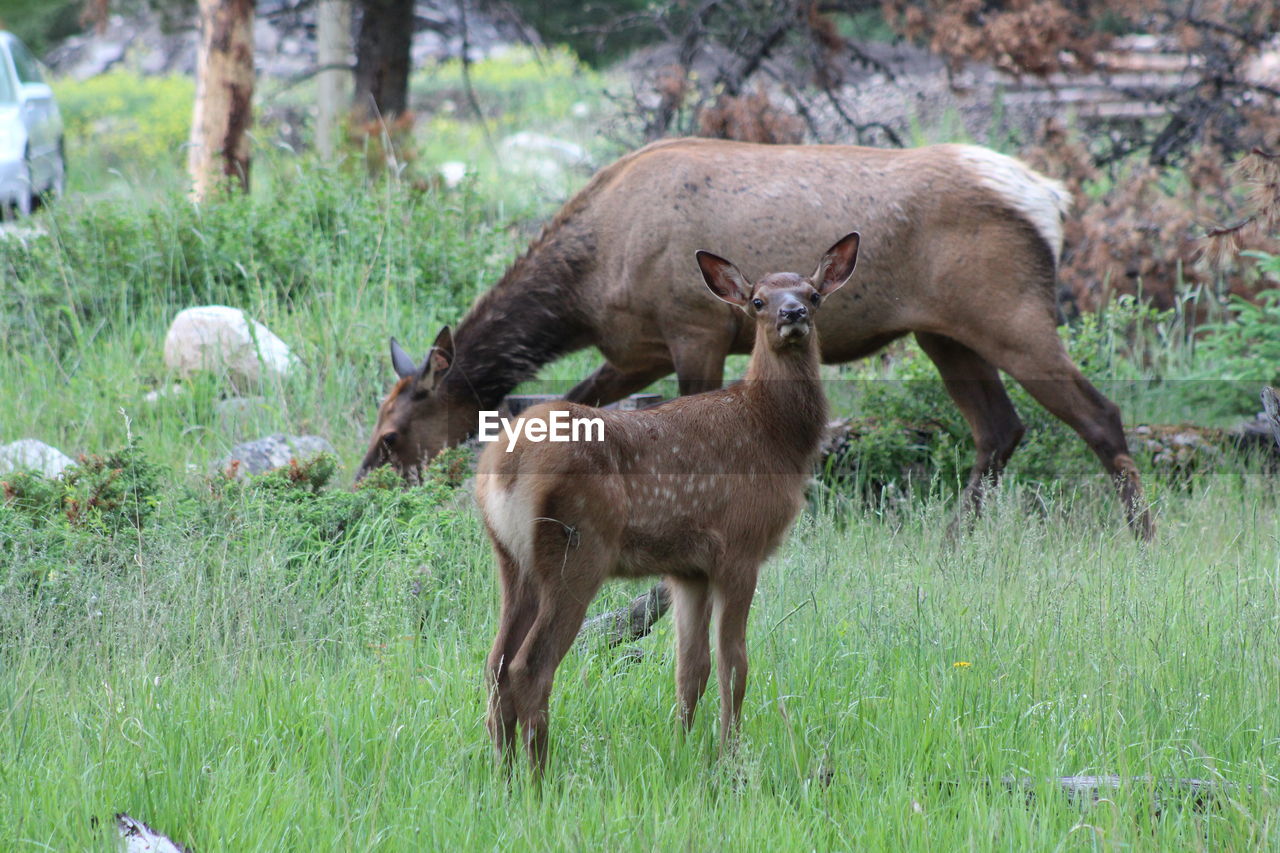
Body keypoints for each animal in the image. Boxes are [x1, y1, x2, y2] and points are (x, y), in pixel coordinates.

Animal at [358, 138, 1152, 537]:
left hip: (1010, 311)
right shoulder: (635, 348)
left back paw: (1144, 536)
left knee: (1100, 415)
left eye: (392, 436)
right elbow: (576, 408)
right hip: (943, 332)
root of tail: (1050, 198)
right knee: (1000, 428)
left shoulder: (695, 327)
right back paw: (954, 539)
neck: (586, 282)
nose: (365, 492)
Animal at [473, 229, 860, 768]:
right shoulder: (740, 546)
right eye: (758, 301)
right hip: (577, 550)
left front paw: (681, 751)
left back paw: (504, 771)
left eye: (814, 294)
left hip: (511, 560)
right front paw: (728, 757)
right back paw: (537, 775)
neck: (773, 434)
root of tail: (505, 466)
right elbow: (735, 664)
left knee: (495, 663)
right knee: (529, 666)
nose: (793, 314)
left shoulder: (687, 568)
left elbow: (690, 670)